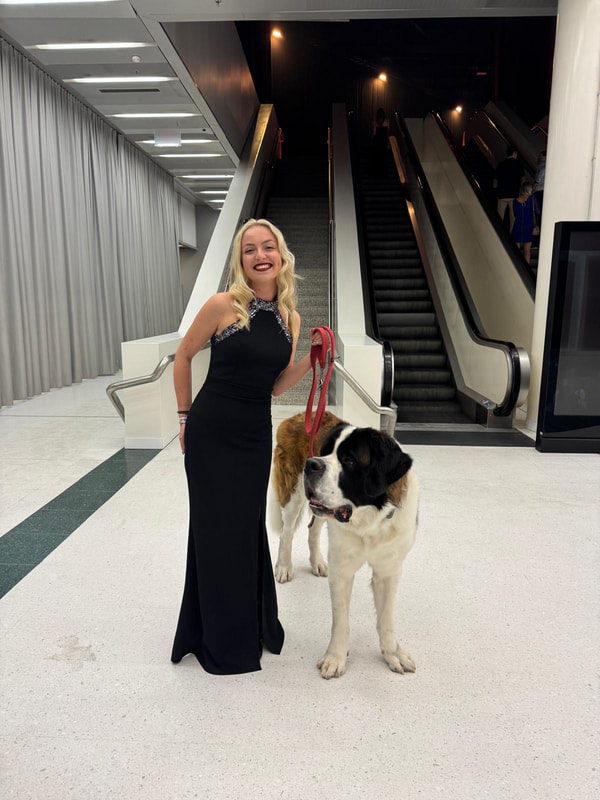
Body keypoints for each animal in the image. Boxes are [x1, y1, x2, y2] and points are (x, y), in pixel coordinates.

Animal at [268, 412, 418, 678]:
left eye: (349, 460)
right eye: (325, 451)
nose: (312, 464)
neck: (370, 521)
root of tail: (296, 416)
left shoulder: (389, 570)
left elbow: (386, 619)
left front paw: (393, 653)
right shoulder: (342, 570)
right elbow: (341, 621)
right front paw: (335, 657)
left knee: (313, 528)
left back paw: (317, 563)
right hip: (292, 492)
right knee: (287, 532)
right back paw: (284, 567)